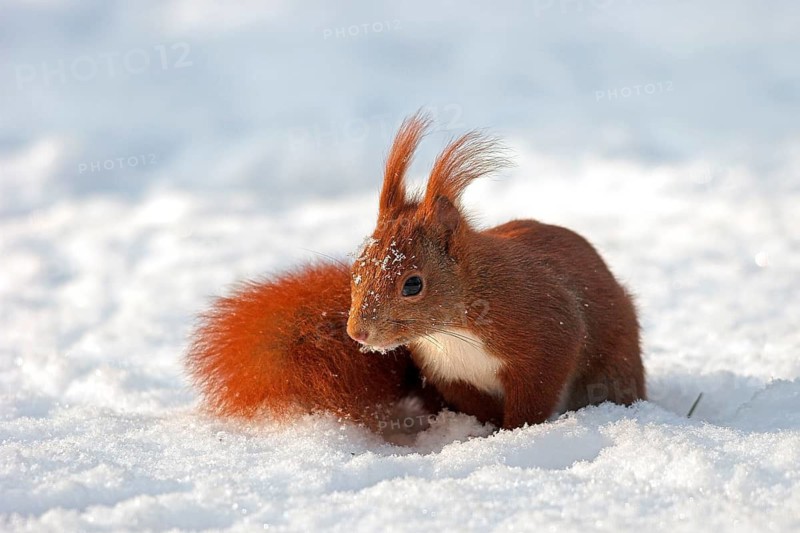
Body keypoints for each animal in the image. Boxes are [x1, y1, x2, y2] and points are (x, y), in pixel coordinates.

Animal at [346, 113, 646, 429]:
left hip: (615, 367)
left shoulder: (548, 339)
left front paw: (514, 431)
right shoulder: (452, 376)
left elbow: (534, 399)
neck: (453, 329)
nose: (357, 333)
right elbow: (479, 408)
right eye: (356, 269)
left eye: (413, 284)